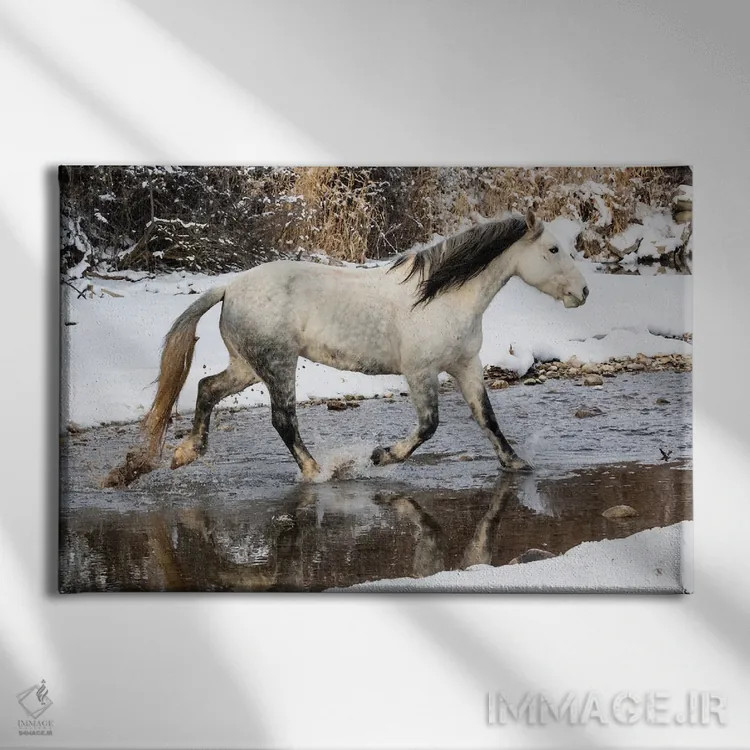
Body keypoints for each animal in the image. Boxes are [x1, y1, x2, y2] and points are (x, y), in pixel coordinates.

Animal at [104, 209, 588, 487]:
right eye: (553, 249)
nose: (583, 293)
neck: (441, 297)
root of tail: (229, 287)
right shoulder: (421, 371)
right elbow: (429, 426)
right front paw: (380, 456)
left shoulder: (465, 365)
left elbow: (486, 418)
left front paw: (516, 464)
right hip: (278, 364)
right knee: (283, 420)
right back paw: (318, 472)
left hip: (248, 366)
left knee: (206, 388)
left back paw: (186, 454)